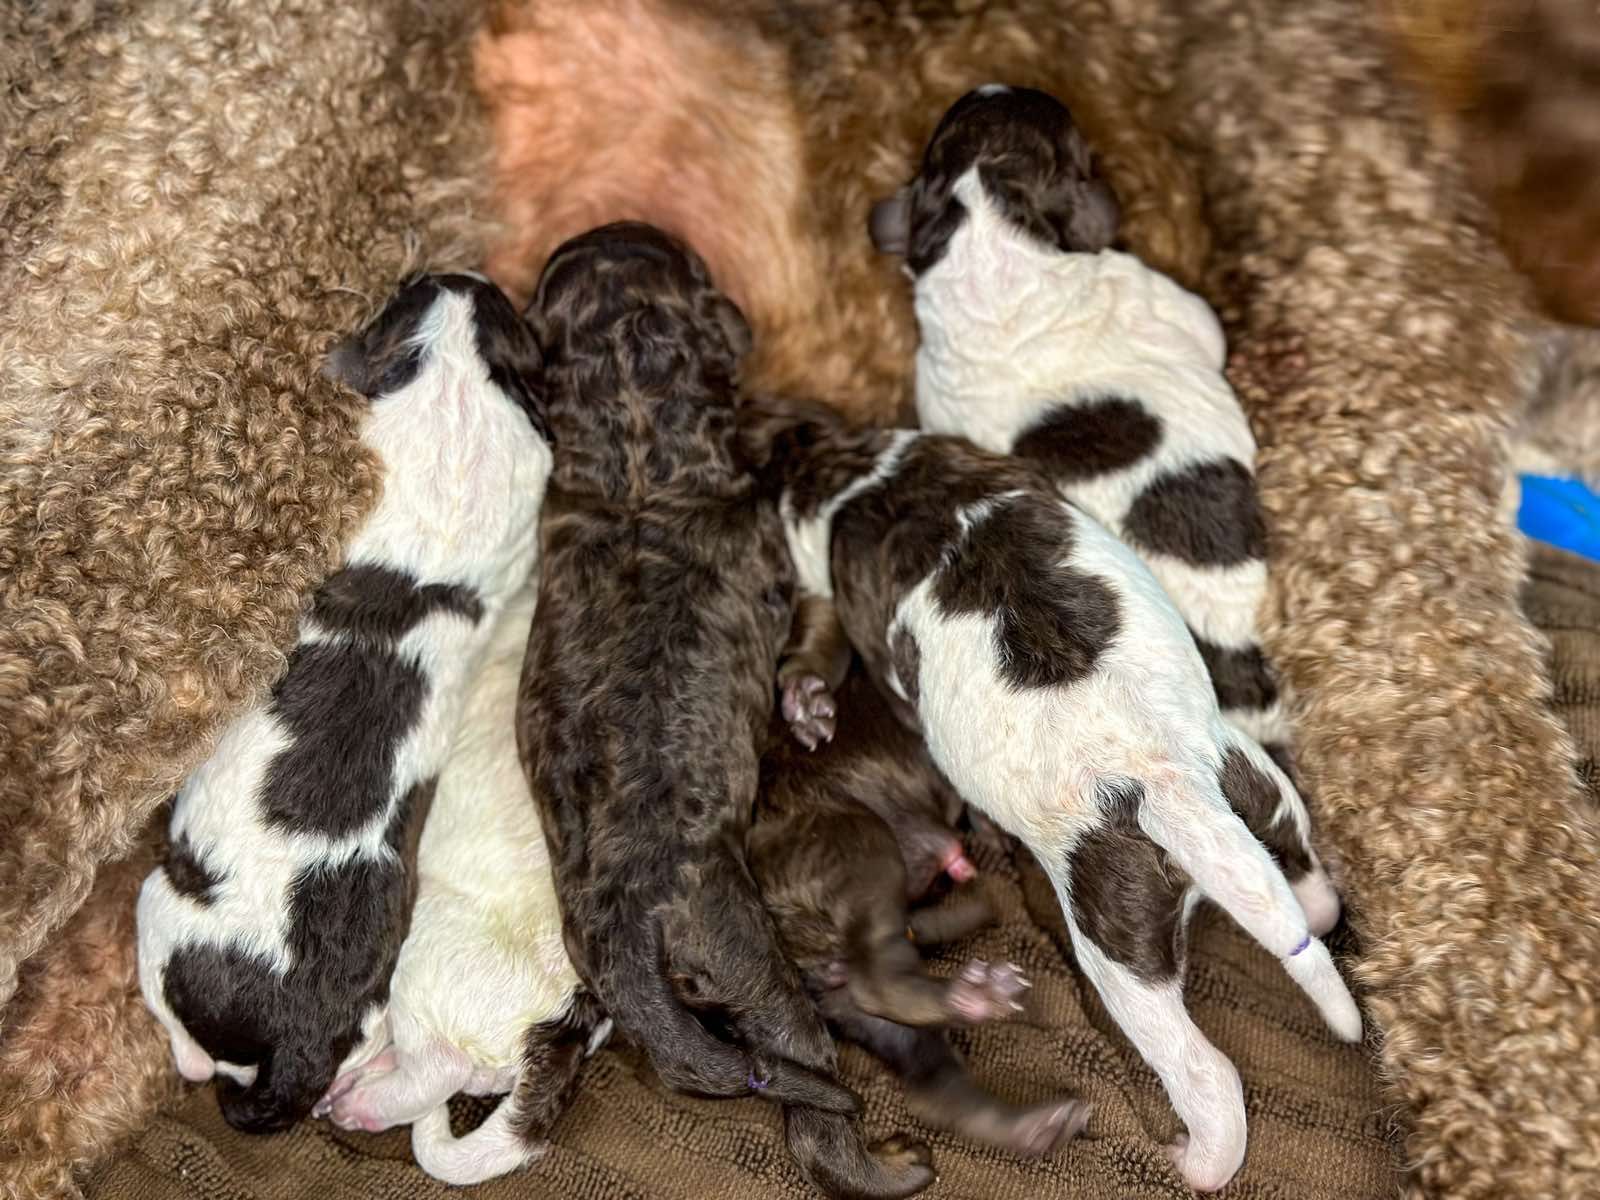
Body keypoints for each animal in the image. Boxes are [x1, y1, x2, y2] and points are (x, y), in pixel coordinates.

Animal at [132, 275, 556, 1139]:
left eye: (402, 298)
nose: (457, 275)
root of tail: (296, 1043)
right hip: (367, 1019)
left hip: (161, 910)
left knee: (186, 1038)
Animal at [512, 225, 934, 1200]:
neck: (634, 448)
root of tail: (630, 938)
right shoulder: (777, 560)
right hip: (757, 971)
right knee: (813, 1119)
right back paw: (890, 1163)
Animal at [745, 662, 1088, 1158]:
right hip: (858, 847)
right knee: (879, 981)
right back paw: (979, 996)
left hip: (854, 1005)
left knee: (932, 1085)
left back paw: (1035, 1124)